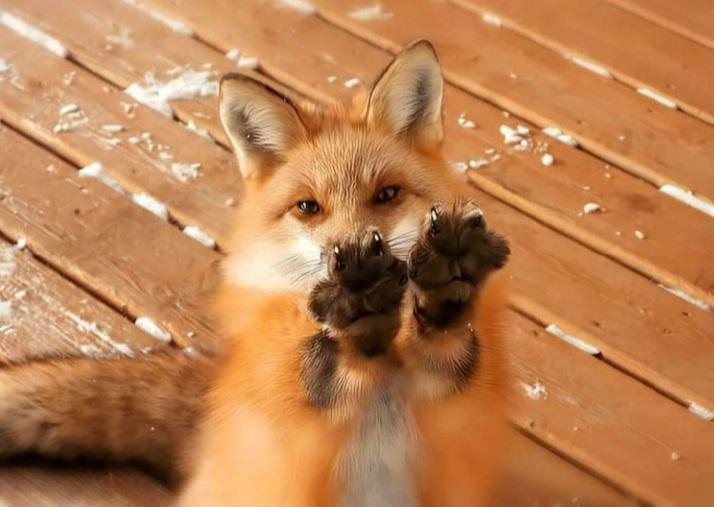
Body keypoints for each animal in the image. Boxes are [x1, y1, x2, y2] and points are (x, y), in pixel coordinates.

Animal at [0, 40, 511, 506]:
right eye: (308, 207)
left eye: (387, 195)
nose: (352, 258)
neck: (386, 368)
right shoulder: (285, 410)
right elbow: (319, 365)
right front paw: (360, 308)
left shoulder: (455, 407)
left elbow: (448, 344)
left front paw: (443, 290)